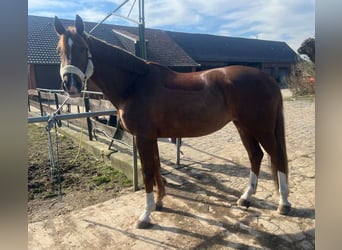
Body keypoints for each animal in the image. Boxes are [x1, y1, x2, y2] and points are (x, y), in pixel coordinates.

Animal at [54, 14, 292, 228]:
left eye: (83, 48)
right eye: (59, 50)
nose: (70, 85)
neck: (134, 83)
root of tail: (269, 79)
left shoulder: (142, 137)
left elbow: (148, 172)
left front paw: (146, 215)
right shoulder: (151, 137)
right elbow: (157, 166)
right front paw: (159, 202)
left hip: (261, 128)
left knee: (276, 156)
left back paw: (283, 203)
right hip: (243, 126)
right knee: (256, 155)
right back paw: (245, 198)